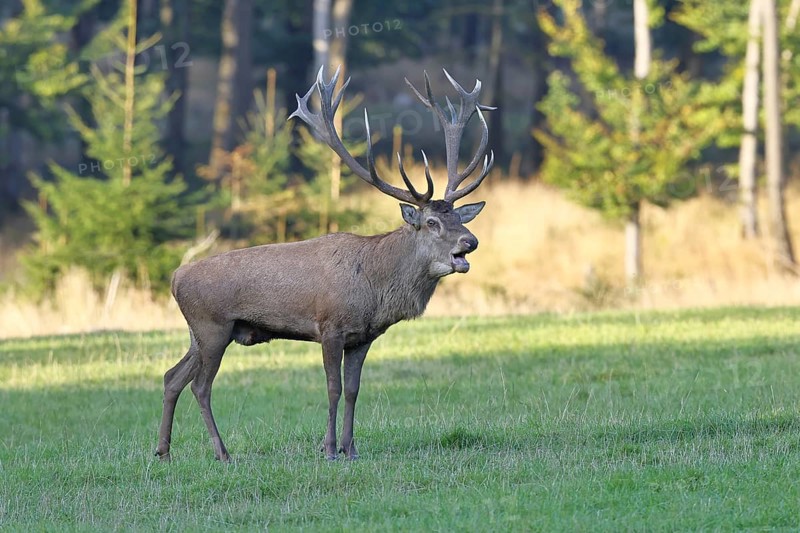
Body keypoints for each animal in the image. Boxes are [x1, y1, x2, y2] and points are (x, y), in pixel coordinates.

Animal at [155, 67, 495, 462]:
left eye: (458, 217)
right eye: (431, 222)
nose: (470, 242)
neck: (375, 287)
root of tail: (176, 277)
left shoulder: (363, 337)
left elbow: (354, 389)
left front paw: (351, 448)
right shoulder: (330, 325)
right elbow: (333, 388)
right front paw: (330, 448)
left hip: (199, 332)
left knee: (172, 376)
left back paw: (163, 451)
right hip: (212, 327)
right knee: (200, 386)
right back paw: (221, 452)